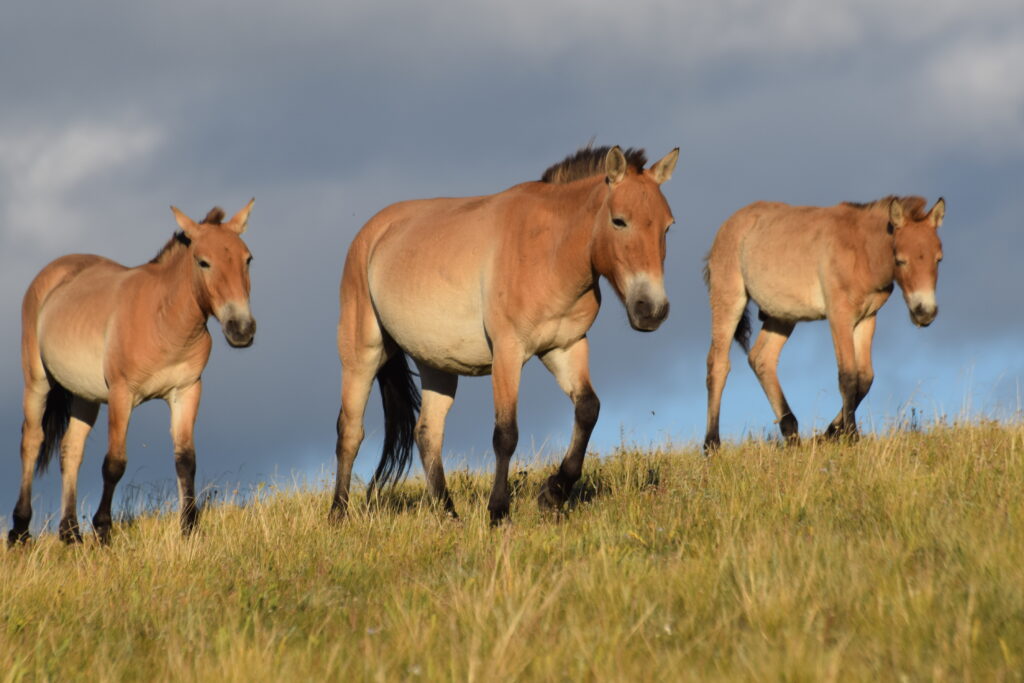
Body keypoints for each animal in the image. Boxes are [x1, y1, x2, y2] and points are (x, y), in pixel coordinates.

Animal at [10, 200, 258, 548]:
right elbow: (114, 463)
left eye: (247, 259)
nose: (242, 330)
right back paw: (19, 531)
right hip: (37, 380)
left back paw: (70, 533)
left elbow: (186, 460)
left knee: (71, 450)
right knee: (32, 442)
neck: (164, 320)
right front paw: (103, 529)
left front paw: (190, 528)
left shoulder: (187, 392)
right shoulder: (121, 394)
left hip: (85, 396)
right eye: (203, 262)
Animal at [333, 147, 679, 528]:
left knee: (427, 433)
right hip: (362, 353)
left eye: (667, 226)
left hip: (436, 363)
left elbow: (588, 409)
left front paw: (553, 494)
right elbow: (506, 433)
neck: (549, 250)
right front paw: (499, 512)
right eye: (619, 221)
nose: (651, 310)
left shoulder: (566, 346)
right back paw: (338, 514)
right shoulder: (508, 352)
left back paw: (450, 515)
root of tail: (371, 234)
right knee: (350, 431)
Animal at [704, 194, 942, 450]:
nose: (925, 313)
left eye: (938, 259)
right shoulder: (839, 316)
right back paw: (711, 445)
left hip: (782, 314)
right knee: (718, 364)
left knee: (761, 358)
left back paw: (792, 434)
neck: (861, 249)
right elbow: (848, 376)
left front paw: (830, 433)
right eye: (900, 261)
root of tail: (726, 227)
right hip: (729, 299)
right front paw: (851, 436)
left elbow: (865, 378)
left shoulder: (867, 318)